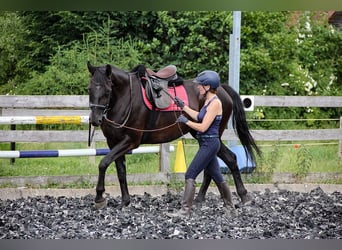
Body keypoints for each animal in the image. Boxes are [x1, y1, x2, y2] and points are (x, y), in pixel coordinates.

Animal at [87, 62, 260, 209]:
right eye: (89, 89)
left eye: (107, 90)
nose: (95, 120)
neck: (126, 97)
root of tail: (222, 90)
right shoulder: (114, 142)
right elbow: (120, 171)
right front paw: (125, 201)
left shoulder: (130, 141)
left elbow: (103, 163)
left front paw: (99, 198)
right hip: (201, 135)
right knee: (217, 163)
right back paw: (201, 199)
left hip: (211, 135)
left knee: (228, 159)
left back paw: (243, 196)